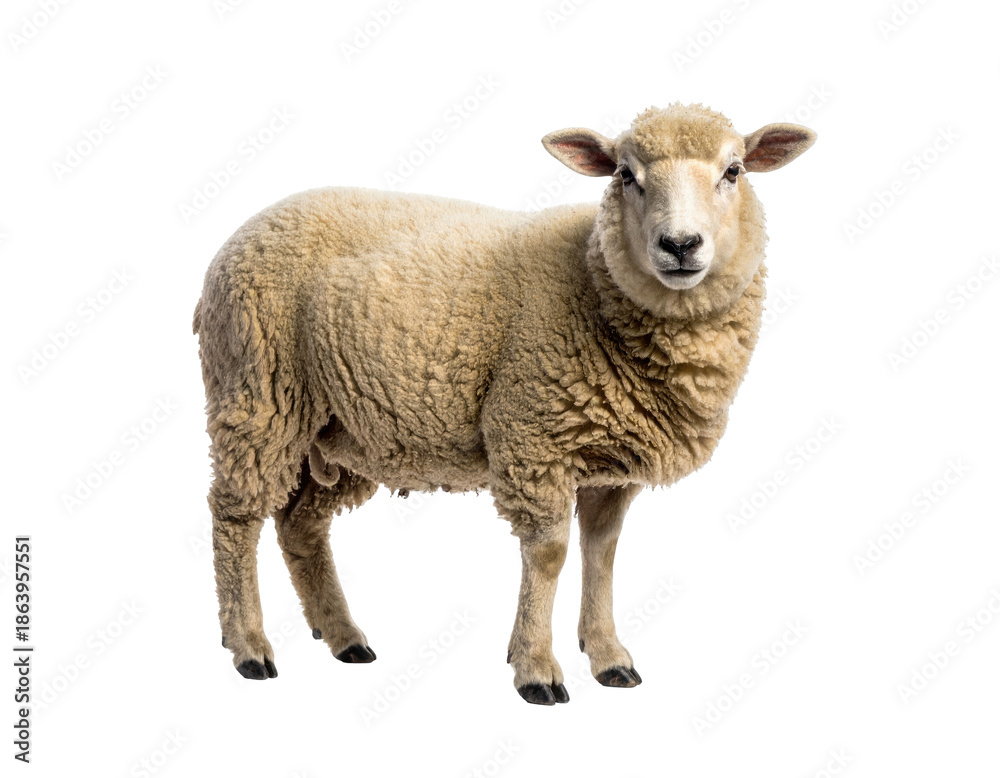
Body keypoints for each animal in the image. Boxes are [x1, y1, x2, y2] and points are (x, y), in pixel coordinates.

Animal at [194, 102, 816, 705]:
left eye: (733, 171)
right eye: (625, 175)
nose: (681, 246)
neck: (591, 283)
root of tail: (241, 233)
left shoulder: (611, 465)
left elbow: (602, 552)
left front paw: (609, 656)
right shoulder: (531, 435)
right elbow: (550, 554)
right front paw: (536, 667)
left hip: (337, 429)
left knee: (301, 526)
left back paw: (344, 636)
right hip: (257, 394)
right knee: (236, 515)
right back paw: (248, 644)